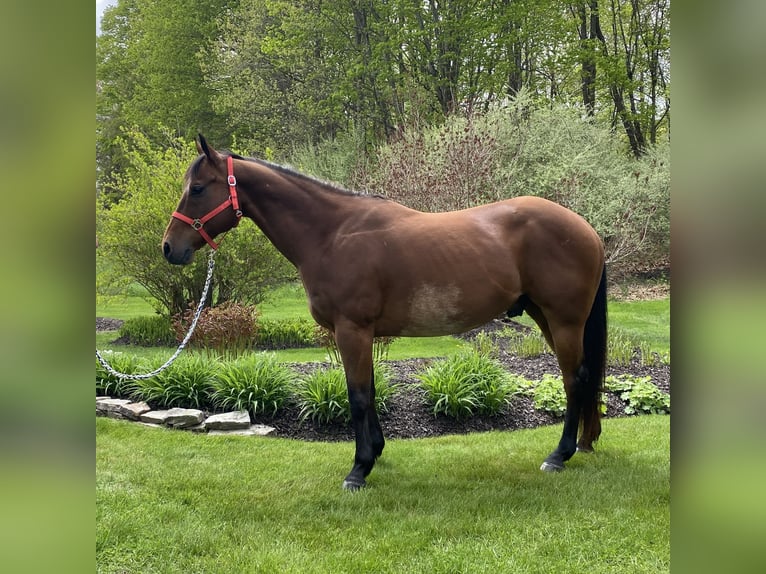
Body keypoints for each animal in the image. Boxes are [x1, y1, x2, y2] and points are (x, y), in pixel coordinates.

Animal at [165, 135, 608, 490]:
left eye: (198, 188)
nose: (170, 248)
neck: (332, 234)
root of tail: (586, 228)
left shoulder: (352, 331)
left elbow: (359, 396)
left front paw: (359, 470)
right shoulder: (361, 335)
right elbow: (370, 391)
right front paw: (375, 453)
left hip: (564, 321)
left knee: (575, 379)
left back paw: (559, 455)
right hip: (547, 318)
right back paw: (582, 443)